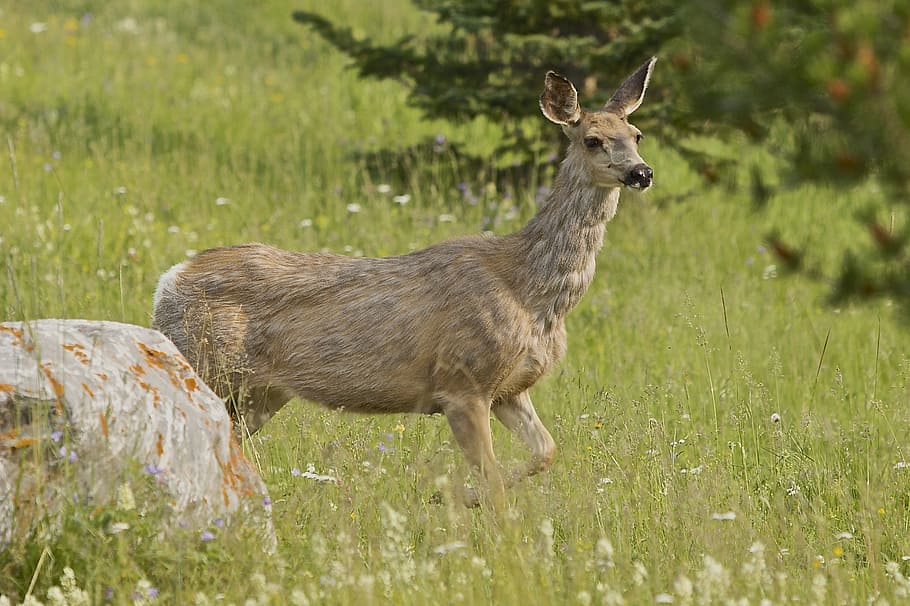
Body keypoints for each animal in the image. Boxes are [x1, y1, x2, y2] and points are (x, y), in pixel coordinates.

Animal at [152, 58, 656, 506]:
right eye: (592, 140)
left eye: (636, 135)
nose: (642, 172)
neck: (531, 293)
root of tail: (168, 281)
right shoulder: (462, 382)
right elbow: (495, 483)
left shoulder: (511, 389)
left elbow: (546, 452)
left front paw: (455, 497)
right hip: (203, 361)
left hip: (260, 392)